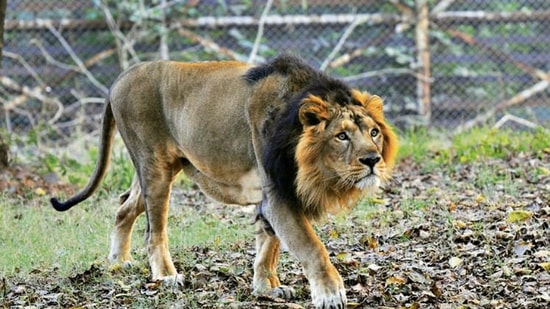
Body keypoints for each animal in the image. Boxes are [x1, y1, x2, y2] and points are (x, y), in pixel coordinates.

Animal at [50, 54, 396, 306]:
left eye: (373, 132)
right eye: (341, 136)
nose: (372, 160)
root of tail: (121, 78)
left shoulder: (272, 197)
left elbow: (268, 246)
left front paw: (266, 288)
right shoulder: (279, 195)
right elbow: (311, 247)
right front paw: (330, 294)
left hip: (158, 168)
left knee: (124, 206)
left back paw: (119, 262)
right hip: (154, 166)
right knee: (154, 231)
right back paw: (166, 277)